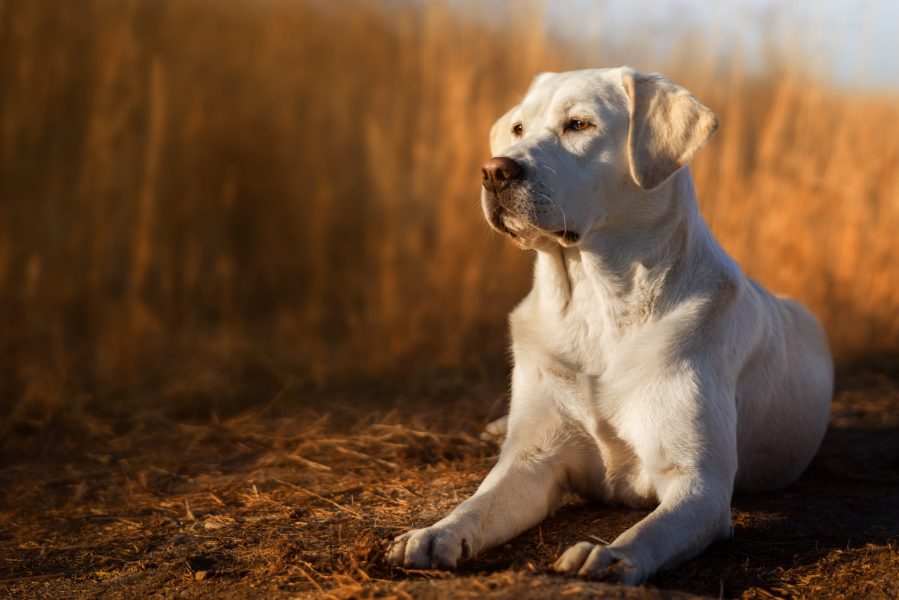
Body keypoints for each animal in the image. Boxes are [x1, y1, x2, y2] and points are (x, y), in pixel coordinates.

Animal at [388, 67, 836, 584]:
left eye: (579, 124)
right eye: (518, 128)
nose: (494, 170)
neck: (595, 306)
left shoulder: (698, 484)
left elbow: (651, 531)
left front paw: (606, 555)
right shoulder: (531, 460)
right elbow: (477, 506)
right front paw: (434, 534)